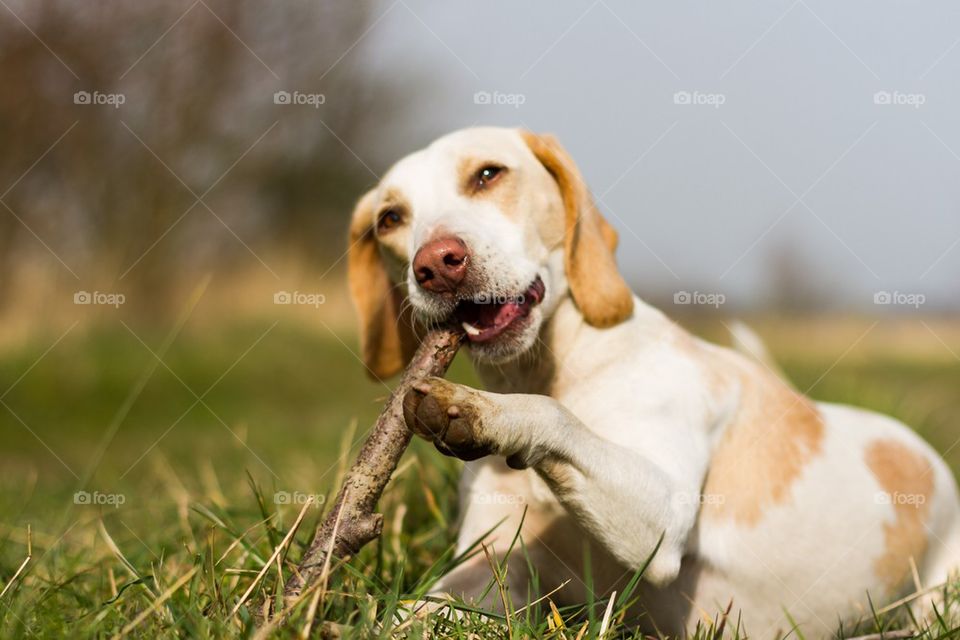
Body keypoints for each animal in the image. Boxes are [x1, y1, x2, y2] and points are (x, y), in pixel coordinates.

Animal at [344, 126, 960, 636]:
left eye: (489, 174)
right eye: (390, 218)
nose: (436, 264)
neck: (554, 369)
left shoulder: (660, 523)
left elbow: (549, 416)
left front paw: (482, 411)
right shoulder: (496, 567)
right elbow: (411, 614)